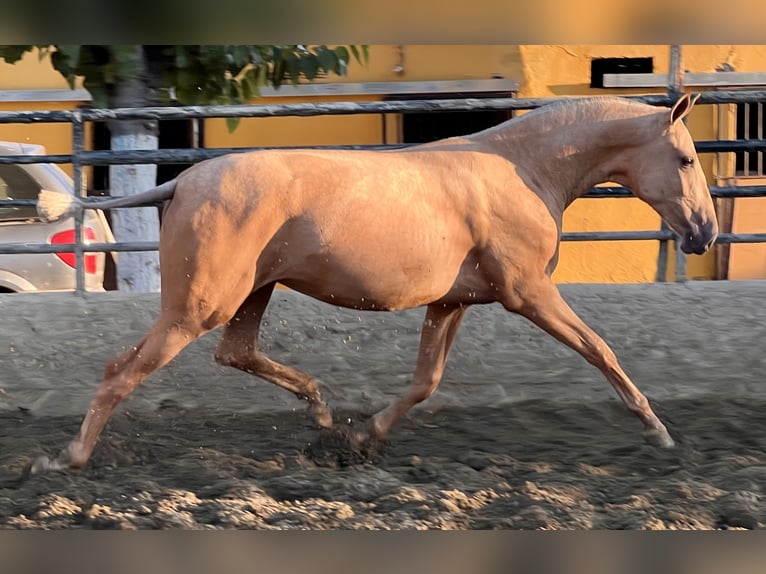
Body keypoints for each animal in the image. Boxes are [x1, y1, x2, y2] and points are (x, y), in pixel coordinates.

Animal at [33, 93, 720, 472]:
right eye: (687, 158)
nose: (705, 233)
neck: (522, 170)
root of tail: (183, 180)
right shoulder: (528, 293)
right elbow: (601, 349)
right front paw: (658, 432)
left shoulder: (452, 301)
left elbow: (425, 382)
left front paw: (362, 437)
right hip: (198, 306)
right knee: (121, 372)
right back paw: (68, 458)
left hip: (251, 294)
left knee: (237, 353)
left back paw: (322, 411)